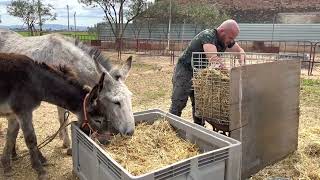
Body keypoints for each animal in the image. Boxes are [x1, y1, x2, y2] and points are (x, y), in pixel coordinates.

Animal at [0, 28, 135, 151]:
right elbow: (63, 118)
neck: (68, 59)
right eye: (116, 102)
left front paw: (61, 136)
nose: (131, 132)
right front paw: (67, 144)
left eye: (130, 97)